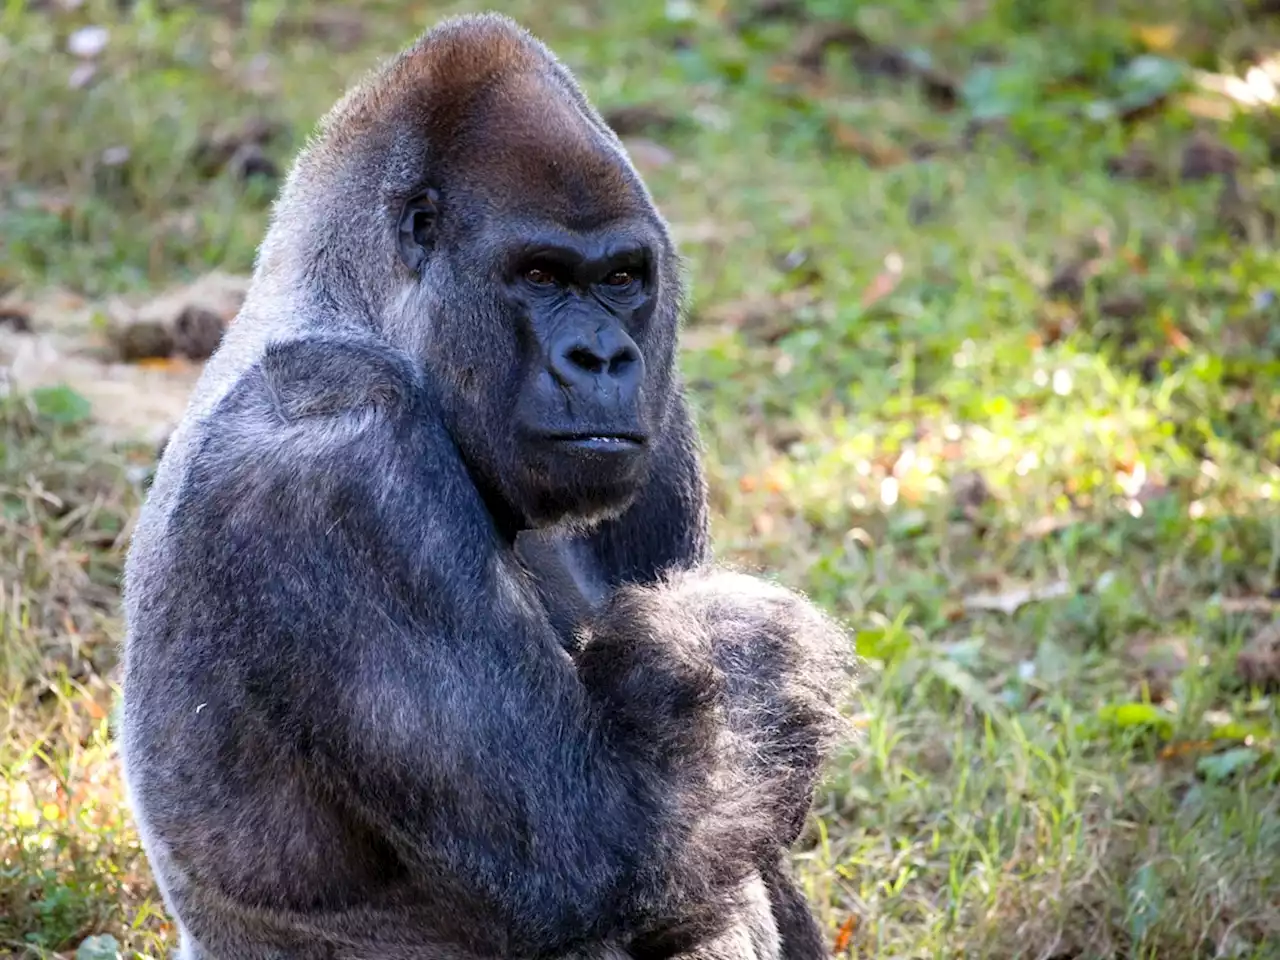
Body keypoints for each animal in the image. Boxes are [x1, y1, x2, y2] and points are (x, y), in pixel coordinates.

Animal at [120, 13, 855, 960]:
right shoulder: (337, 451)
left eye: (621, 278)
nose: (603, 358)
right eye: (539, 275)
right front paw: (748, 642)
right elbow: (592, 846)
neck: (353, 307)